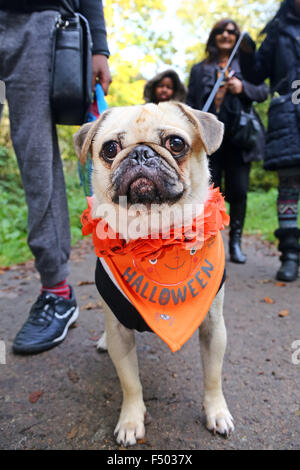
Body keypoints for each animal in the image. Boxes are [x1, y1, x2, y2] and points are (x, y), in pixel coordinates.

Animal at [74, 101, 233, 446]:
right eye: (110, 149)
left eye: (176, 144)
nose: (141, 153)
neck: (155, 236)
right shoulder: (120, 333)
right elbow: (130, 383)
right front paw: (131, 421)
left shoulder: (214, 327)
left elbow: (213, 377)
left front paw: (217, 412)